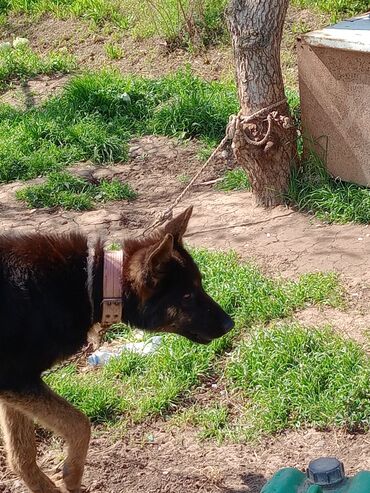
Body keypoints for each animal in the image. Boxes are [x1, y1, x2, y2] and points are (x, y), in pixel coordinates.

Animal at [0, 208, 233, 492]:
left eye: (200, 286)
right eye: (188, 296)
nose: (230, 324)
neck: (91, 282)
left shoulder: (14, 385)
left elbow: (22, 456)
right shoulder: (17, 381)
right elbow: (80, 423)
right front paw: (72, 475)